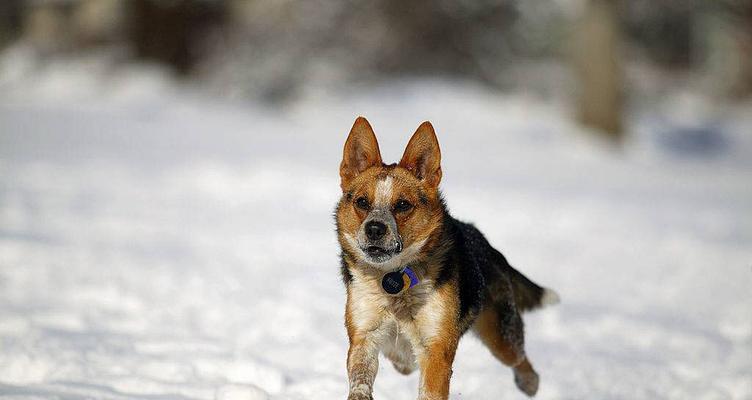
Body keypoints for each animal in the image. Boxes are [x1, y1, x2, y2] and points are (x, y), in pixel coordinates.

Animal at [334, 117, 560, 398]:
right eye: (362, 202)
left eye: (402, 205)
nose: (374, 228)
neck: (394, 277)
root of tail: (487, 245)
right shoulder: (364, 334)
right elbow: (360, 379)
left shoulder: (436, 347)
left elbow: (431, 389)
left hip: (501, 334)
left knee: (520, 359)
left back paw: (529, 383)